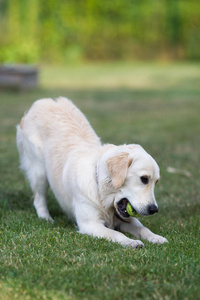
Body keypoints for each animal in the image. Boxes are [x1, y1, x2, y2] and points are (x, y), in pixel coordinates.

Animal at [16, 97, 168, 247]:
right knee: (38, 198)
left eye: (156, 182)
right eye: (144, 179)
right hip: (40, 172)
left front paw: (156, 237)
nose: (154, 209)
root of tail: (43, 101)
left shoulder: (126, 219)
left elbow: (143, 228)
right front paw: (130, 241)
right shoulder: (90, 224)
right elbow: (116, 233)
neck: (100, 189)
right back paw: (46, 218)